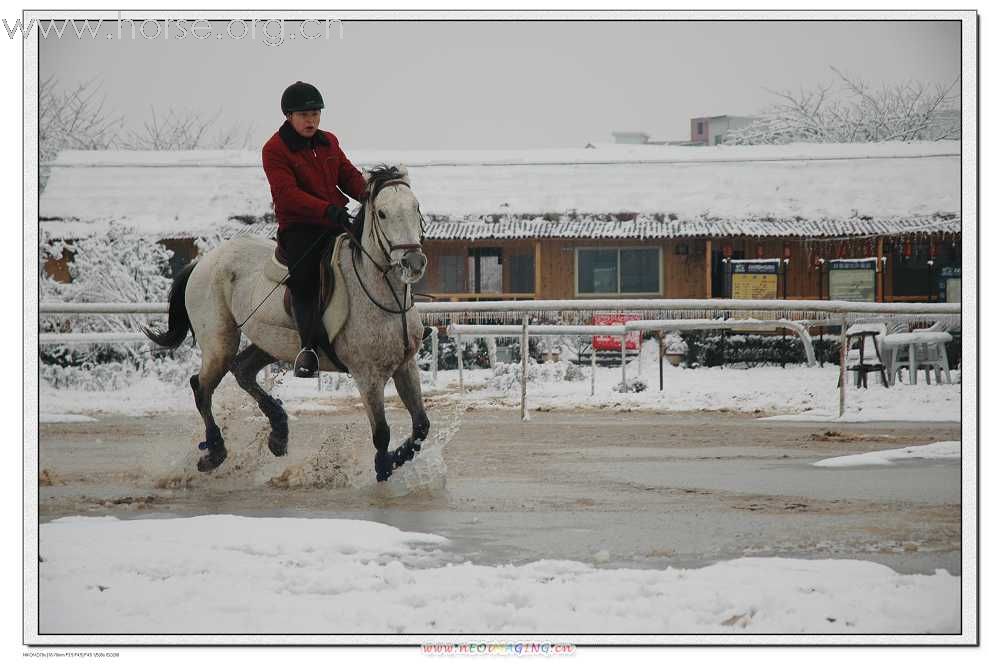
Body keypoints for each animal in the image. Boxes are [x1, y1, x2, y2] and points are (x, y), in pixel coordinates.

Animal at [144, 163, 430, 480]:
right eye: (382, 213)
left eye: (416, 207)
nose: (414, 263)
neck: (384, 296)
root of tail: (202, 262)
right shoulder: (367, 375)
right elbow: (381, 433)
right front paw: (383, 468)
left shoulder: (405, 366)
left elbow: (421, 426)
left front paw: (398, 458)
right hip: (220, 342)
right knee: (202, 387)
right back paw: (216, 451)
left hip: (272, 343)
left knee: (242, 370)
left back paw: (278, 433)